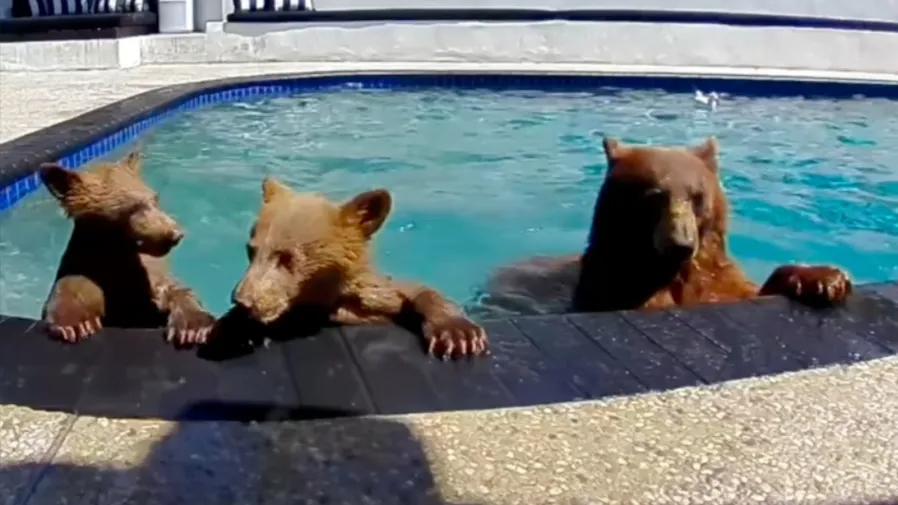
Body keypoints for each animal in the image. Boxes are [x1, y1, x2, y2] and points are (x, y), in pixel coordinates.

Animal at [39, 151, 216, 346]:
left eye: (155, 198)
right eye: (133, 208)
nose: (176, 234)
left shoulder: (149, 278)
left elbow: (175, 290)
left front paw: (193, 328)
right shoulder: (88, 264)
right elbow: (71, 286)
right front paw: (75, 324)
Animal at [227, 177, 488, 359]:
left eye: (286, 257)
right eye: (250, 250)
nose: (242, 300)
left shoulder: (374, 297)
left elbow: (411, 290)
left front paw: (459, 334)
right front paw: (229, 330)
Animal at [471, 136, 852, 318]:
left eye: (697, 196)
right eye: (654, 196)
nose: (680, 243)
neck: (669, 270)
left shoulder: (717, 277)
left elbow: (747, 289)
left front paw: (824, 278)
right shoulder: (613, 285)